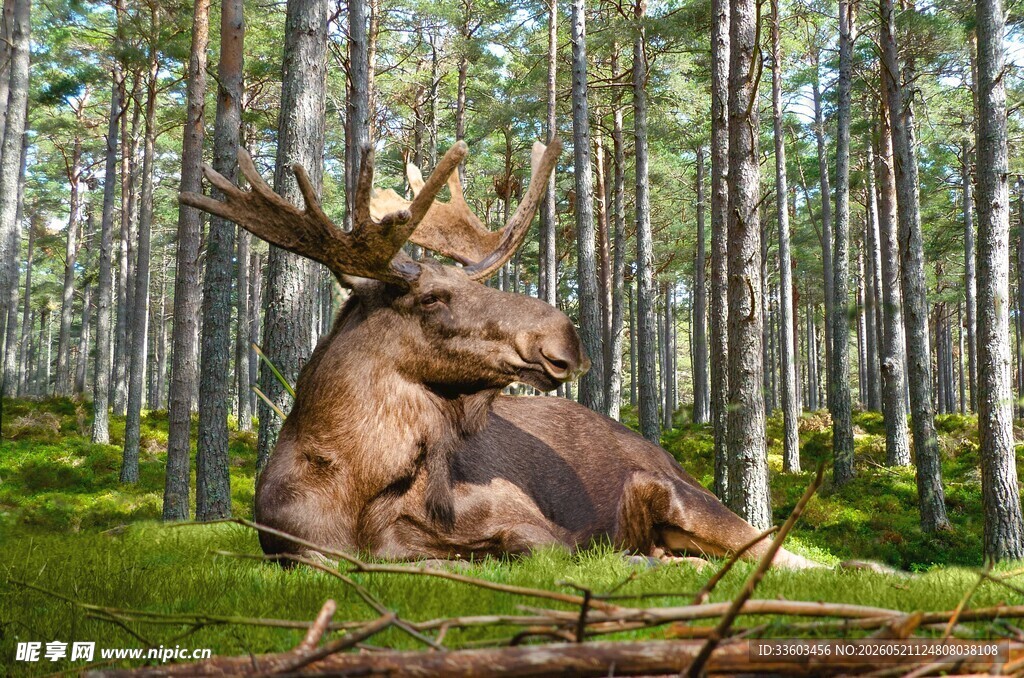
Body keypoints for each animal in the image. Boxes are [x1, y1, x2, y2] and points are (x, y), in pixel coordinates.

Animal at [180, 139, 817, 570]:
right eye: (433, 297)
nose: (566, 337)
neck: (355, 485)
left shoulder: (532, 523)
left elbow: (518, 550)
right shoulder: (293, 545)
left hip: (686, 497)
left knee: (782, 552)